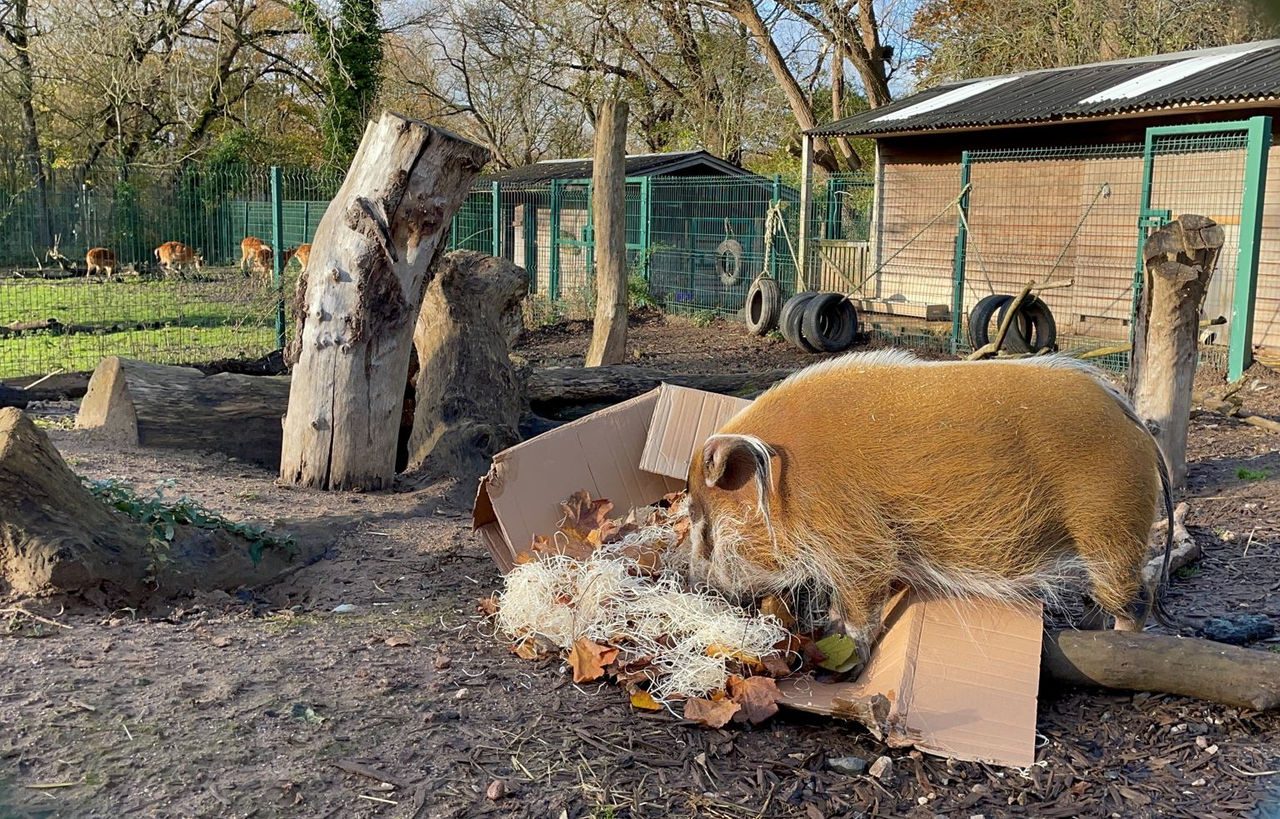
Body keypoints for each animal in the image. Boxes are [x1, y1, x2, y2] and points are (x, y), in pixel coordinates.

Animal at [686, 350, 1172, 660]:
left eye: (698, 517)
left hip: (1111, 527)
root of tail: (1128, 413)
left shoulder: (858, 546)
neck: (788, 482)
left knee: (1137, 597)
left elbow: (860, 609)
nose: (693, 582)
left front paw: (850, 654)